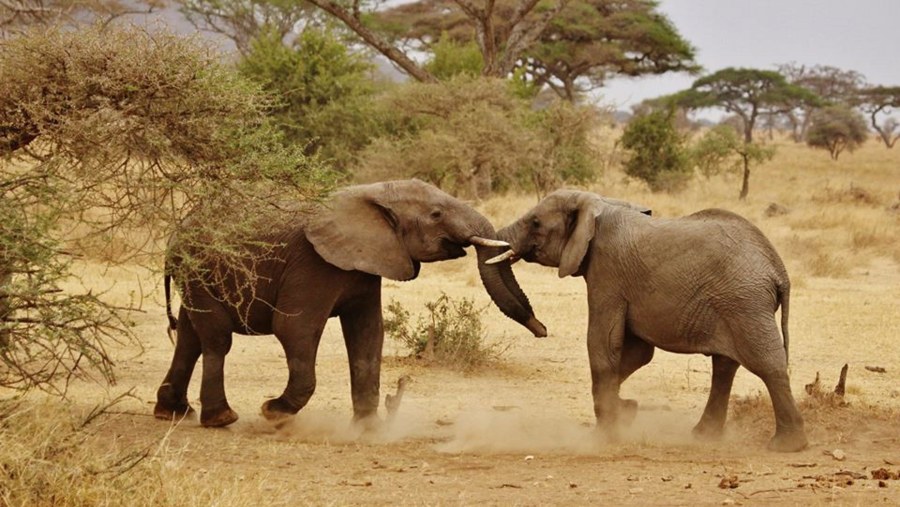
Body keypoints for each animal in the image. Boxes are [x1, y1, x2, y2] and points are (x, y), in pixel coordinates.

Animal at [156, 180, 548, 428]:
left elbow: (368, 334)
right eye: (436, 214)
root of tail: (177, 232)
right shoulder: (313, 264)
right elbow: (295, 329)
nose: (542, 329)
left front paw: (367, 427)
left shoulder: (367, 264)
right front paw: (273, 413)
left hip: (196, 273)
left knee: (190, 336)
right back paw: (221, 420)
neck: (370, 193)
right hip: (198, 268)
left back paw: (172, 414)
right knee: (216, 338)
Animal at [492, 190, 808, 452]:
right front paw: (627, 410)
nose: (542, 330)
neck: (599, 203)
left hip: (744, 303)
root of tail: (779, 272)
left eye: (535, 222)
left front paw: (604, 435)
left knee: (767, 365)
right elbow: (637, 353)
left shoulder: (607, 274)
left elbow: (603, 345)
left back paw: (787, 446)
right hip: (733, 304)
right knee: (725, 366)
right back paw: (703, 436)